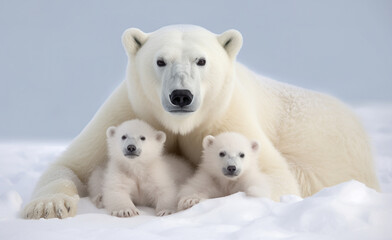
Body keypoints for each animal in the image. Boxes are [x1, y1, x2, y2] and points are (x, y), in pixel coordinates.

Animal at [23, 24, 378, 219]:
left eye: (201, 60)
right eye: (160, 61)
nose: (181, 95)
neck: (180, 126)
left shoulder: (226, 115)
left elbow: (276, 175)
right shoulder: (128, 109)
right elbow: (72, 164)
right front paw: (48, 207)